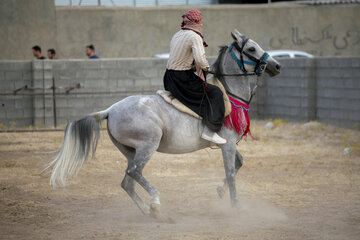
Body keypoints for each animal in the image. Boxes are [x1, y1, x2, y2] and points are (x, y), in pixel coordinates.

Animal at [45, 30, 282, 218]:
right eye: (251, 48)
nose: (276, 65)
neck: (229, 95)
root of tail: (110, 110)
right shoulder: (229, 144)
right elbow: (232, 173)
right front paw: (236, 206)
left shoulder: (226, 144)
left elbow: (238, 164)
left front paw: (220, 191)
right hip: (148, 145)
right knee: (134, 173)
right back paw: (156, 202)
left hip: (131, 151)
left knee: (127, 181)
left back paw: (148, 210)